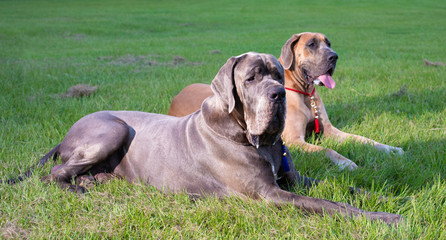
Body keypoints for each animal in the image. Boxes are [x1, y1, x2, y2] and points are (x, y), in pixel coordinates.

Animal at [34, 52, 400, 223]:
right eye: (252, 78)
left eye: (278, 74)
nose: (279, 94)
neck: (258, 140)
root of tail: (67, 133)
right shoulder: (270, 194)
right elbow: (329, 204)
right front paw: (385, 218)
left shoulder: (293, 179)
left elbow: (342, 188)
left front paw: (383, 197)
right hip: (113, 129)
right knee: (53, 173)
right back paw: (79, 189)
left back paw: (96, 181)